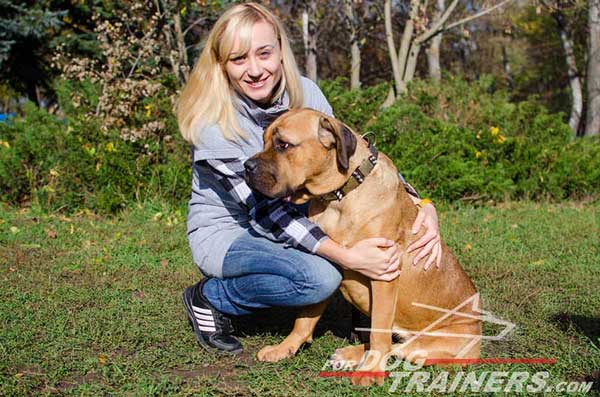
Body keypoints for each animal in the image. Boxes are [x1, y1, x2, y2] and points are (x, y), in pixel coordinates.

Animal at [244, 107, 482, 384]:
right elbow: (304, 318)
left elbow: (379, 331)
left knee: (395, 347)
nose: (246, 166)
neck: (340, 197)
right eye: (264, 141)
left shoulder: (384, 274)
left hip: (428, 346)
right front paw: (286, 348)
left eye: (283, 144)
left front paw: (371, 371)